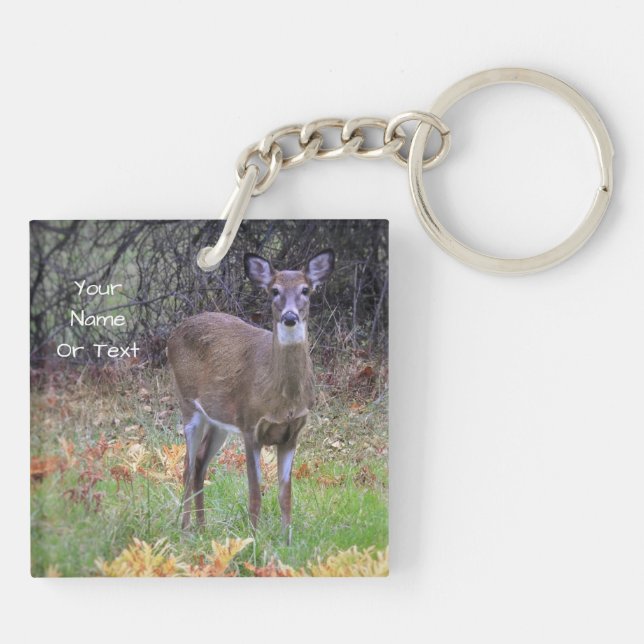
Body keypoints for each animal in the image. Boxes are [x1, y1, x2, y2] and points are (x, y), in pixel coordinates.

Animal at [166, 249, 335, 543]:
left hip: (218, 421)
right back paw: (186, 531)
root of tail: (172, 335)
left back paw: (203, 528)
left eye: (306, 290)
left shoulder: (292, 433)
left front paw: (286, 542)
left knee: (199, 463)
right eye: (274, 291)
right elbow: (255, 494)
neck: (282, 399)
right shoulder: (249, 426)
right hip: (188, 405)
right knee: (186, 466)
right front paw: (253, 541)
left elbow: (285, 495)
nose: (290, 317)